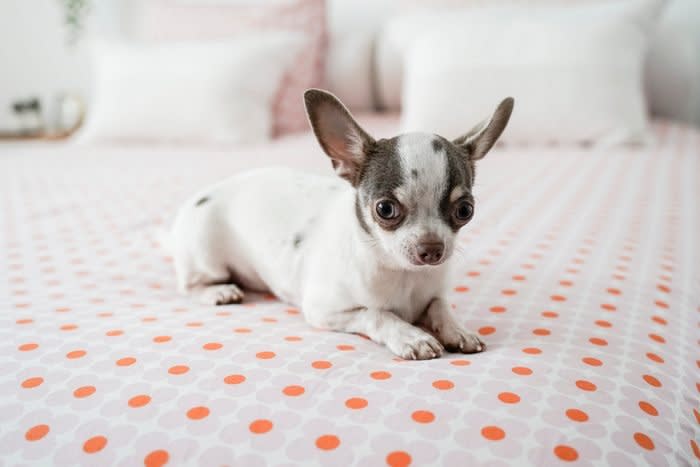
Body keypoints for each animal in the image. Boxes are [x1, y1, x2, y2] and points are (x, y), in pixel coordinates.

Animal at [167, 91, 512, 362]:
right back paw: (220, 291)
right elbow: (378, 313)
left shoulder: (433, 294)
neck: (403, 275)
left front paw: (457, 330)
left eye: (465, 210)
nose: (431, 249)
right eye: (385, 209)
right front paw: (411, 336)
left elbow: (440, 306)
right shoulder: (327, 311)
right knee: (190, 285)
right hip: (205, 254)